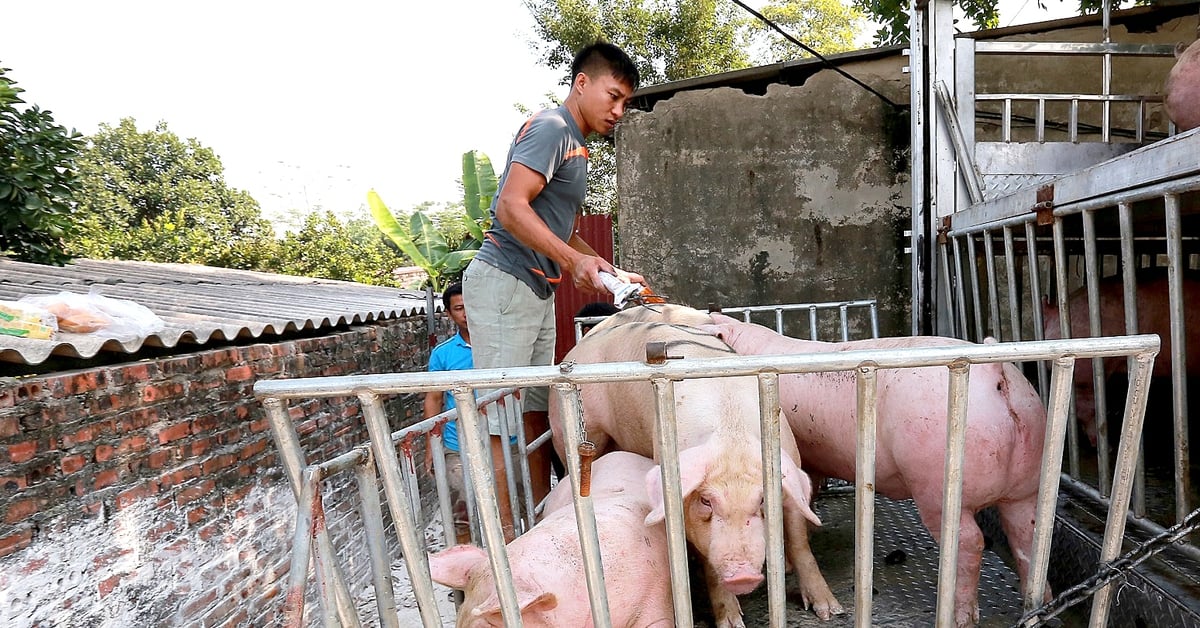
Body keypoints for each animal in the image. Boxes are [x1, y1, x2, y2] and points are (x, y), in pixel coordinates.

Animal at [549, 321, 840, 624]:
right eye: (706, 500)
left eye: (762, 500)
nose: (743, 575)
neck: (732, 433)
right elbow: (707, 561)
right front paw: (732, 623)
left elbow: (799, 541)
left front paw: (829, 610)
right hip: (574, 432)